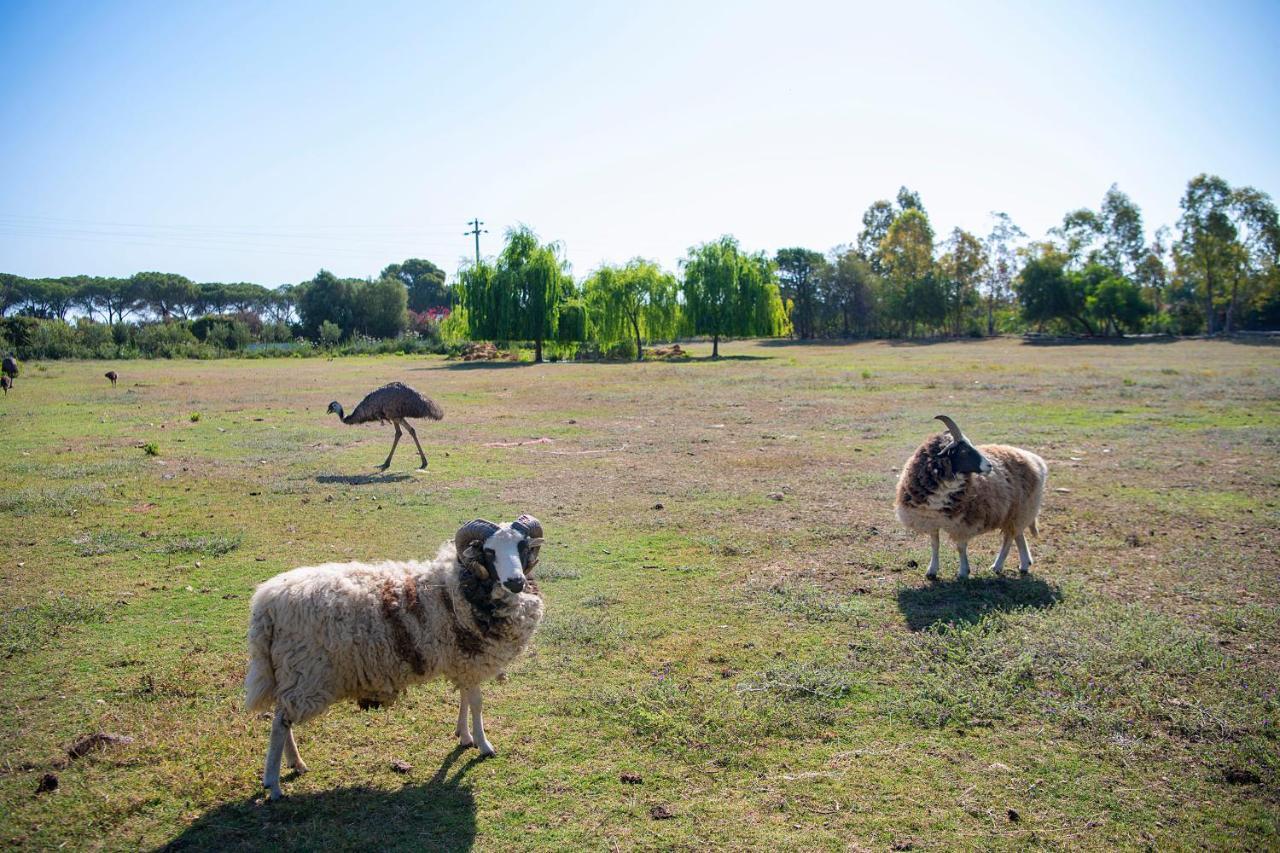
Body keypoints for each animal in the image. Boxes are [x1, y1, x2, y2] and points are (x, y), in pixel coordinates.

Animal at [244, 512, 545, 799]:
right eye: (489, 552)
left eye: (521, 546)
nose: (516, 582)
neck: (460, 582)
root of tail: (266, 603)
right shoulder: (471, 659)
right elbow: (477, 704)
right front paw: (484, 745)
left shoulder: (462, 660)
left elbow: (464, 699)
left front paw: (464, 736)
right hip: (305, 672)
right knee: (280, 723)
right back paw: (273, 784)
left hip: (292, 673)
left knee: (282, 716)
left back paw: (296, 763)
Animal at [896, 412, 1044, 578]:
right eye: (964, 451)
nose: (989, 465)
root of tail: (1035, 460)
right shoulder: (931, 519)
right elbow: (935, 544)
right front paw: (932, 570)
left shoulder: (963, 522)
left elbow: (961, 547)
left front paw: (963, 572)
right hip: (1015, 512)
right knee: (1017, 535)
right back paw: (1024, 564)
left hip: (1021, 509)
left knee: (1009, 538)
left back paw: (998, 566)